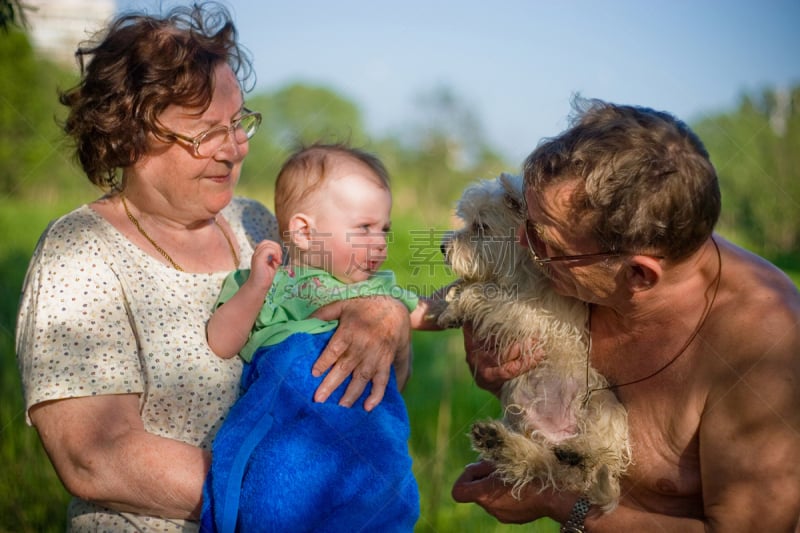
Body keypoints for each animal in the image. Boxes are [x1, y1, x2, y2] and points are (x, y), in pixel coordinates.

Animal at [438, 172, 632, 510]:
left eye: (481, 226)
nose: (442, 246)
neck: (522, 274)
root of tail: (557, 434)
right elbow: (476, 287)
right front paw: (449, 299)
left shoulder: (532, 316)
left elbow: (484, 293)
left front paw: (457, 303)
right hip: (523, 423)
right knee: (536, 462)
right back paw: (497, 441)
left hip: (602, 403)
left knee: (598, 457)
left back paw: (579, 453)